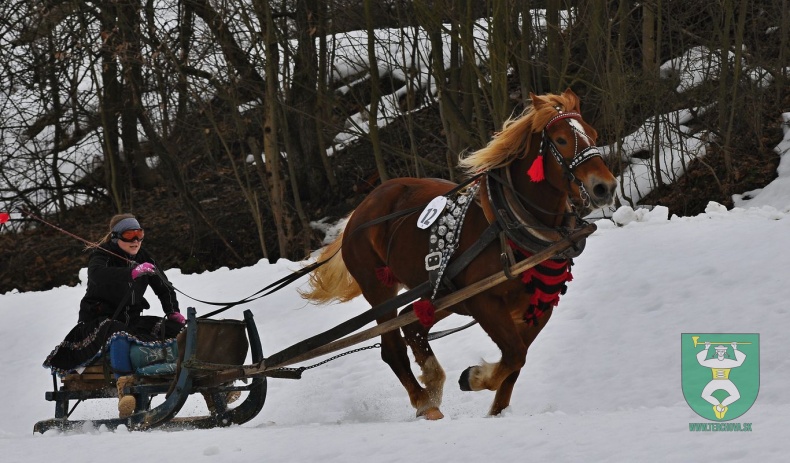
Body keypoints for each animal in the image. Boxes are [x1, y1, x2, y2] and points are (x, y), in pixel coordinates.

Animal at [304, 89, 620, 418]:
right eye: (560, 139)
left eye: (594, 134)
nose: (605, 187)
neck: (510, 225)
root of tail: (359, 211)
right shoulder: (483, 301)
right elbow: (514, 354)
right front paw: (475, 377)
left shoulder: (537, 310)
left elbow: (515, 365)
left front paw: (496, 411)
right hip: (379, 288)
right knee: (392, 347)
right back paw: (425, 402)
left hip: (442, 292)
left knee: (412, 324)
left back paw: (432, 382)